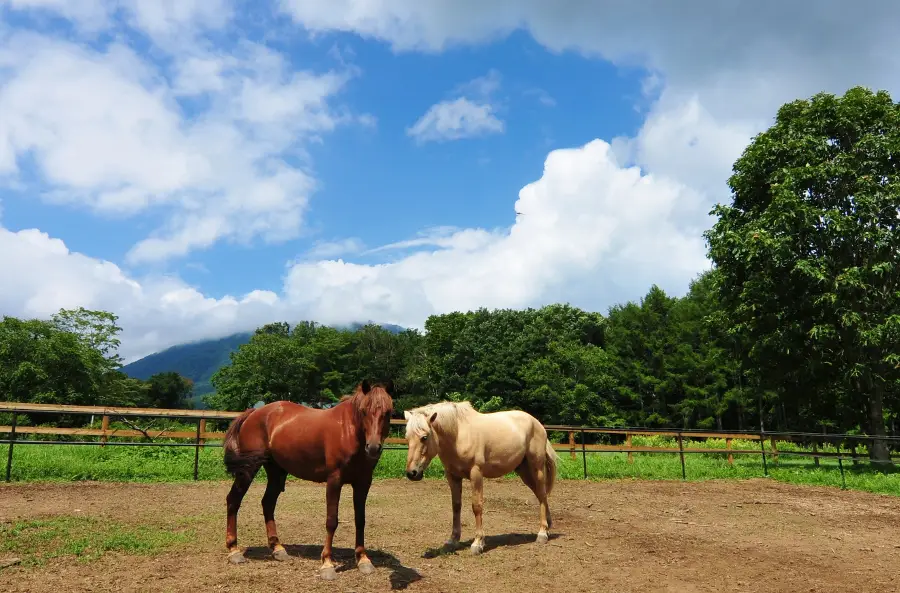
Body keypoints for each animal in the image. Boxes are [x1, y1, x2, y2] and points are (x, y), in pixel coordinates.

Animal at [221, 379, 394, 580]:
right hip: (248, 470)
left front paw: (363, 560)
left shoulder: (363, 482)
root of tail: (254, 413)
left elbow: (361, 520)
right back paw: (234, 551)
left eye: (388, 412)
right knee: (233, 500)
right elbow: (331, 521)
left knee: (267, 503)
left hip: (276, 472)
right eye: (364, 410)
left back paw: (277, 548)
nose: (373, 447)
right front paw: (327, 564)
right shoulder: (334, 481)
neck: (349, 430)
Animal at [402, 401, 557, 554]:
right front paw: (452, 541)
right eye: (407, 438)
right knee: (541, 495)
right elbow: (456, 506)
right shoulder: (453, 476)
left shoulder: (476, 473)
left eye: (424, 437)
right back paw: (548, 526)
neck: (458, 434)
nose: (412, 473)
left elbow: (476, 506)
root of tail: (537, 423)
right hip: (523, 471)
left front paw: (478, 543)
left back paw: (542, 533)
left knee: (542, 494)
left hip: (536, 468)